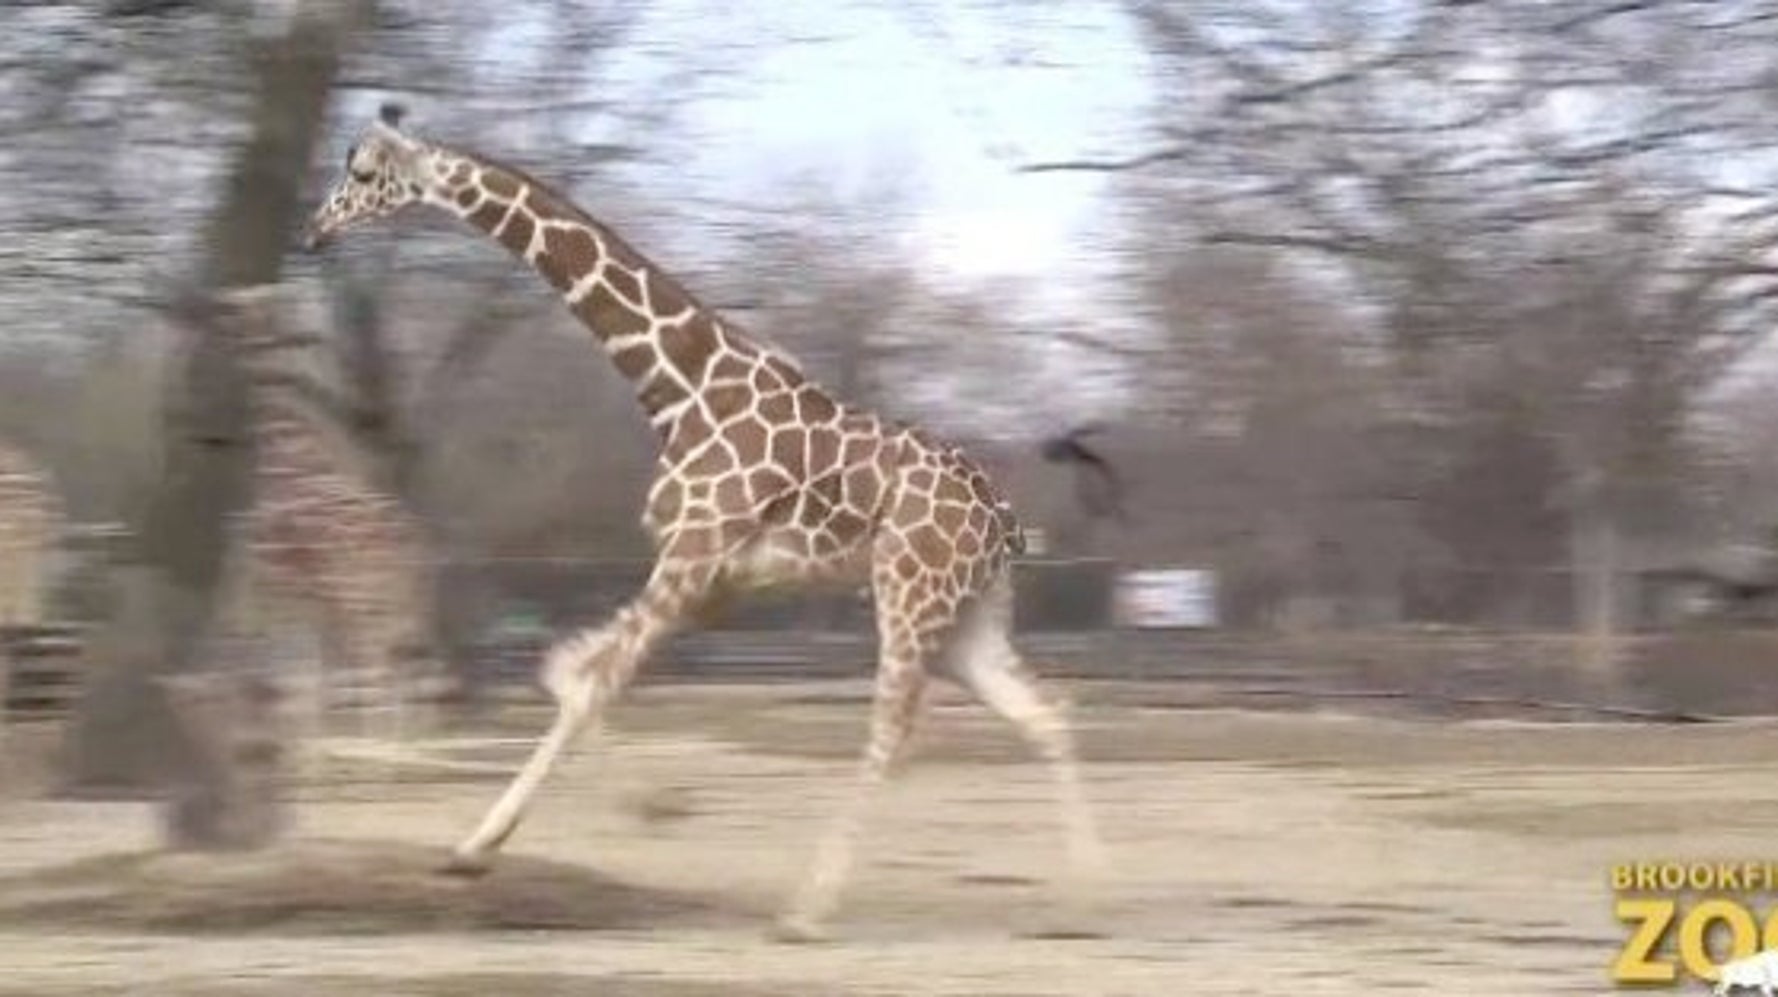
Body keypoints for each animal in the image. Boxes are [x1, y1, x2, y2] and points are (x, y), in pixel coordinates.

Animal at [216, 291, 440, 749]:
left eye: (242, 312)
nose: (222, 316)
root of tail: (411, 545)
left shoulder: (292, 596)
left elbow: (309, 690)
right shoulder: (316, 605)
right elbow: (318, 691)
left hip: (365, 602)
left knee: (381, 679)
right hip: (402, 607)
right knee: (409, 684)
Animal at [309, 104, 1095, 938]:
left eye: (362, 170)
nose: (316, 230)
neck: (678, 385)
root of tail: (1004, 521)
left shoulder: (691, 555)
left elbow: (585, 681)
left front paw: (490, 843)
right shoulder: (715, 578)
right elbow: (575, 671)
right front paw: (629, 809)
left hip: (912, 597)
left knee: (893, 730)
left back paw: (808, 909)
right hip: (970, 614)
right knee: (1045, 711)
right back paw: (1090, 892)